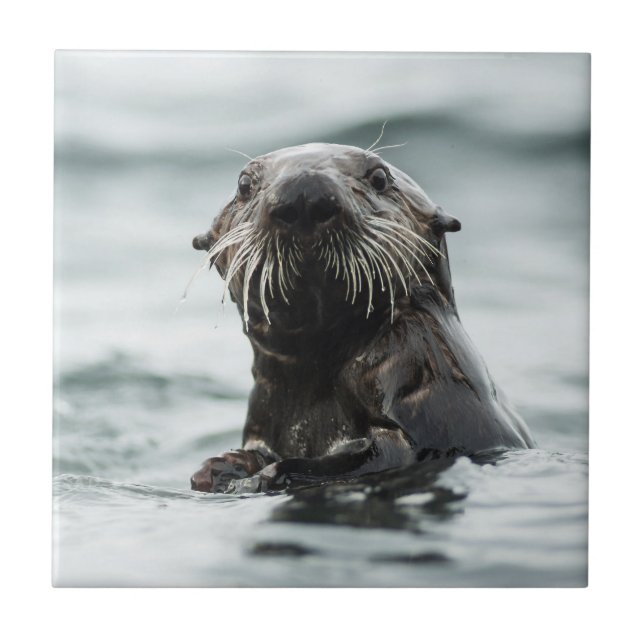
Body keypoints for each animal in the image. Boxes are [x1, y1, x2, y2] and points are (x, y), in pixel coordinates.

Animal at [189, 143, 535, 493]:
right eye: (244, 184)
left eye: (379, 177)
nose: (304, 194)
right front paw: (222, 467)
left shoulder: (419, 364)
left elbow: (384, 454)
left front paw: (262, 476)